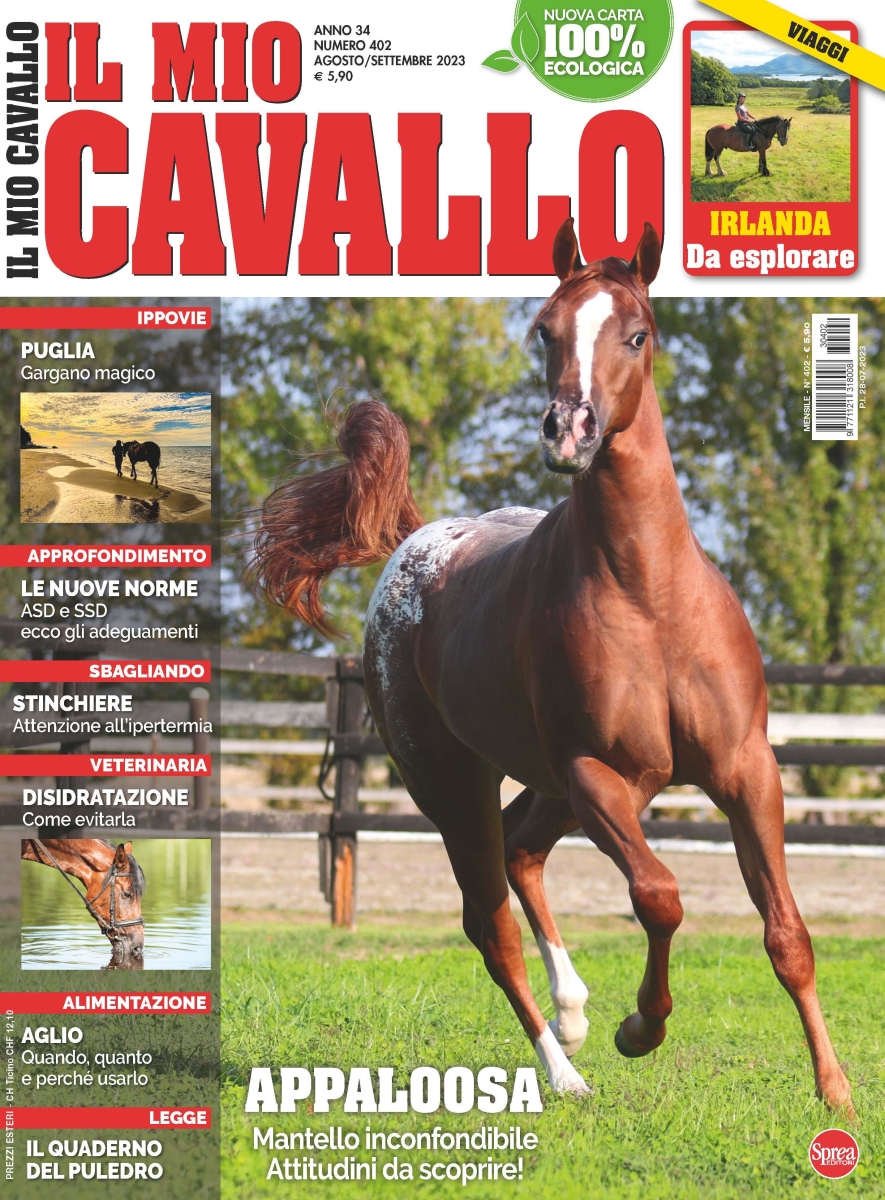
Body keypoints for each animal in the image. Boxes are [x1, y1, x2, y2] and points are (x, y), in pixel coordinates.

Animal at [249, 218, 853, 1117]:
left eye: (637, 334)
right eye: (545, 329)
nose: (569, 430)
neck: (649, 597)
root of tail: (415, 543)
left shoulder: (744, 770)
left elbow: (787, 933)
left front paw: (834, 1089)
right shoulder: (596, 773)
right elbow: (658, 896)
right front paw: (640, 1029)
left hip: (553, 787)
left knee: (521, 853)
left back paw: (572, 1013)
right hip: (459, 786)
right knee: (491, 920)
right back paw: (564, 1067)